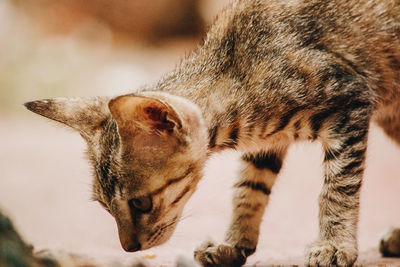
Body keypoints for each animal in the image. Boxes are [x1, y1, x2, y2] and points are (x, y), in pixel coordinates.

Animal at [24, 0, 400, 266]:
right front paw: (233, 243)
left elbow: (337, 190)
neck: (236, 70)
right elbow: (247, 190)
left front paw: (334, 244)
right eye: (105, 207)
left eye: (140, 203)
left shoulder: (350, 100)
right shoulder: (265, 144)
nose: (129, 248)